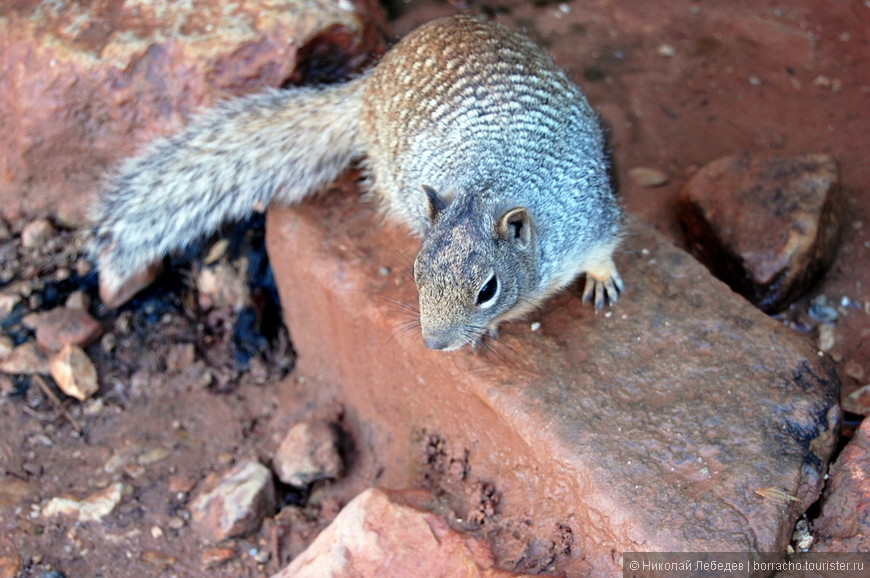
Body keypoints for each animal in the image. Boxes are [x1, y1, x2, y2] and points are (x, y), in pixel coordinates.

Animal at [92, 15, 628, 348]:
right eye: (416, 274)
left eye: (488, 289)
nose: (433, 344)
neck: (488, 188)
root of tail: (371, 80)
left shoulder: (588, 216)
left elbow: (602, 248)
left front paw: (602, 278)